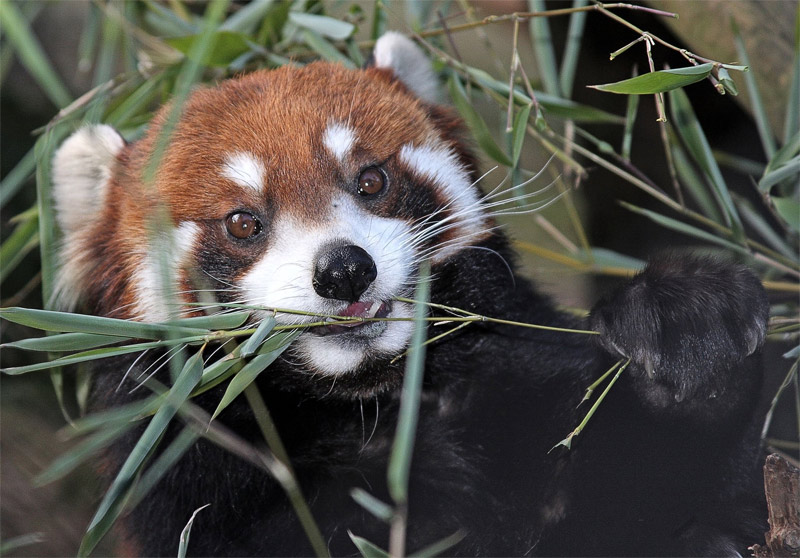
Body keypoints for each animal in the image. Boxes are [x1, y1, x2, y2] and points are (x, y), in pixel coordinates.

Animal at [50, 32, 768, 556]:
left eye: (370, 181)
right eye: (243, 222)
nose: (344, 270)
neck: (372, 405)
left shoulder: (517, 384)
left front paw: (685, 331)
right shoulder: (193, 484)